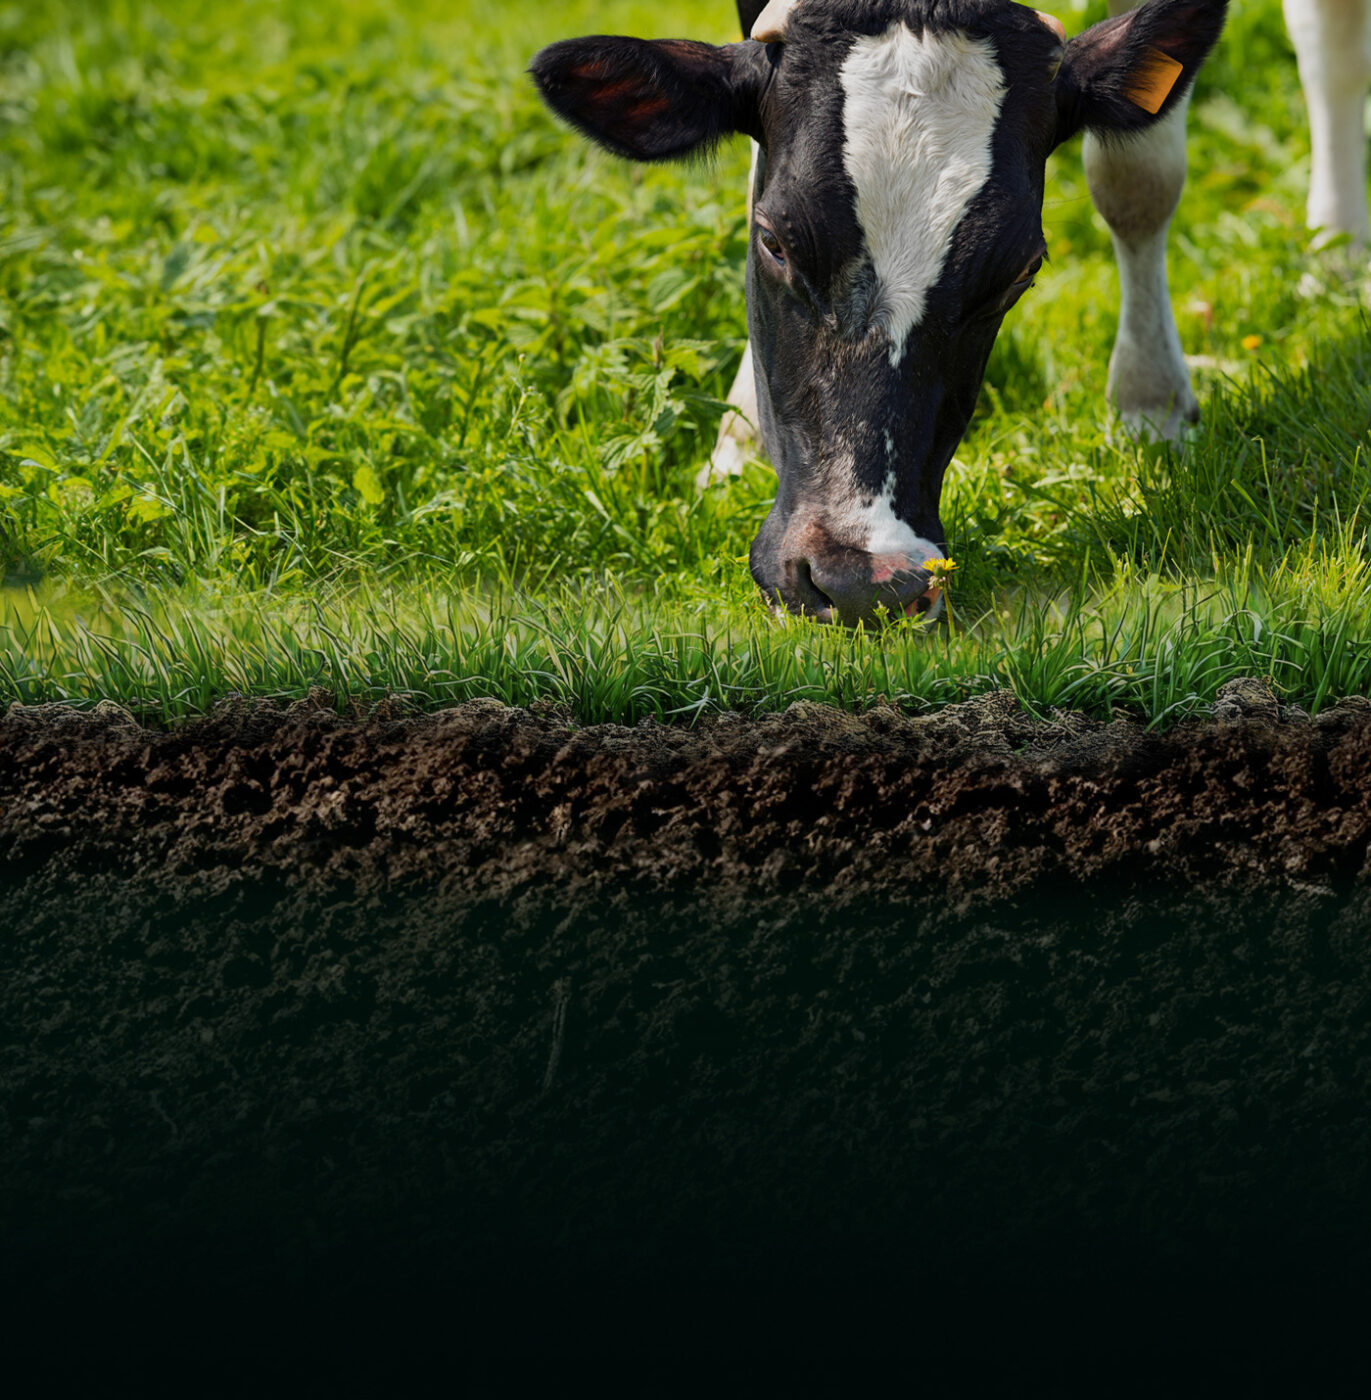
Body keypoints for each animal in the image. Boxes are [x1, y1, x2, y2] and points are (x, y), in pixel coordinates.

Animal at [531, 2, 1368, 625]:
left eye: (1018, 272)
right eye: (772, 240)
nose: (861, 580)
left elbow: (1137, 172)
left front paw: (1150, 401)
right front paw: (737, 436)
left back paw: (1334, 250)